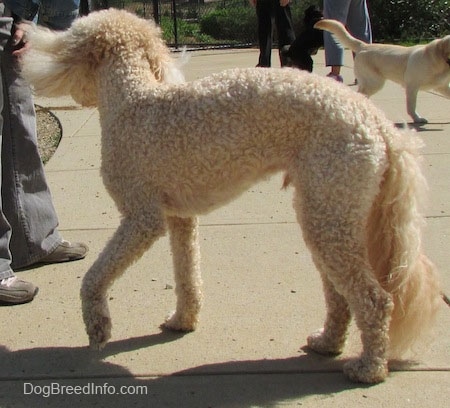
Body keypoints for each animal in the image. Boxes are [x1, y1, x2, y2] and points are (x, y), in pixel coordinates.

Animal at [22, 10, 442, 386]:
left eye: (67, 40)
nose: (25, 42)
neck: (134, 99)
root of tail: (375, 120)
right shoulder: (179, 218)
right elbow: (187, 276)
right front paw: (183, 321)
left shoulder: (142, 219)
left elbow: (94, 278)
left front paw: (98, 326)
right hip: (327, 213)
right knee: (341, 296)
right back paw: (327, 343)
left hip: (330, 214)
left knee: (374, 300)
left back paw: (369, 368)